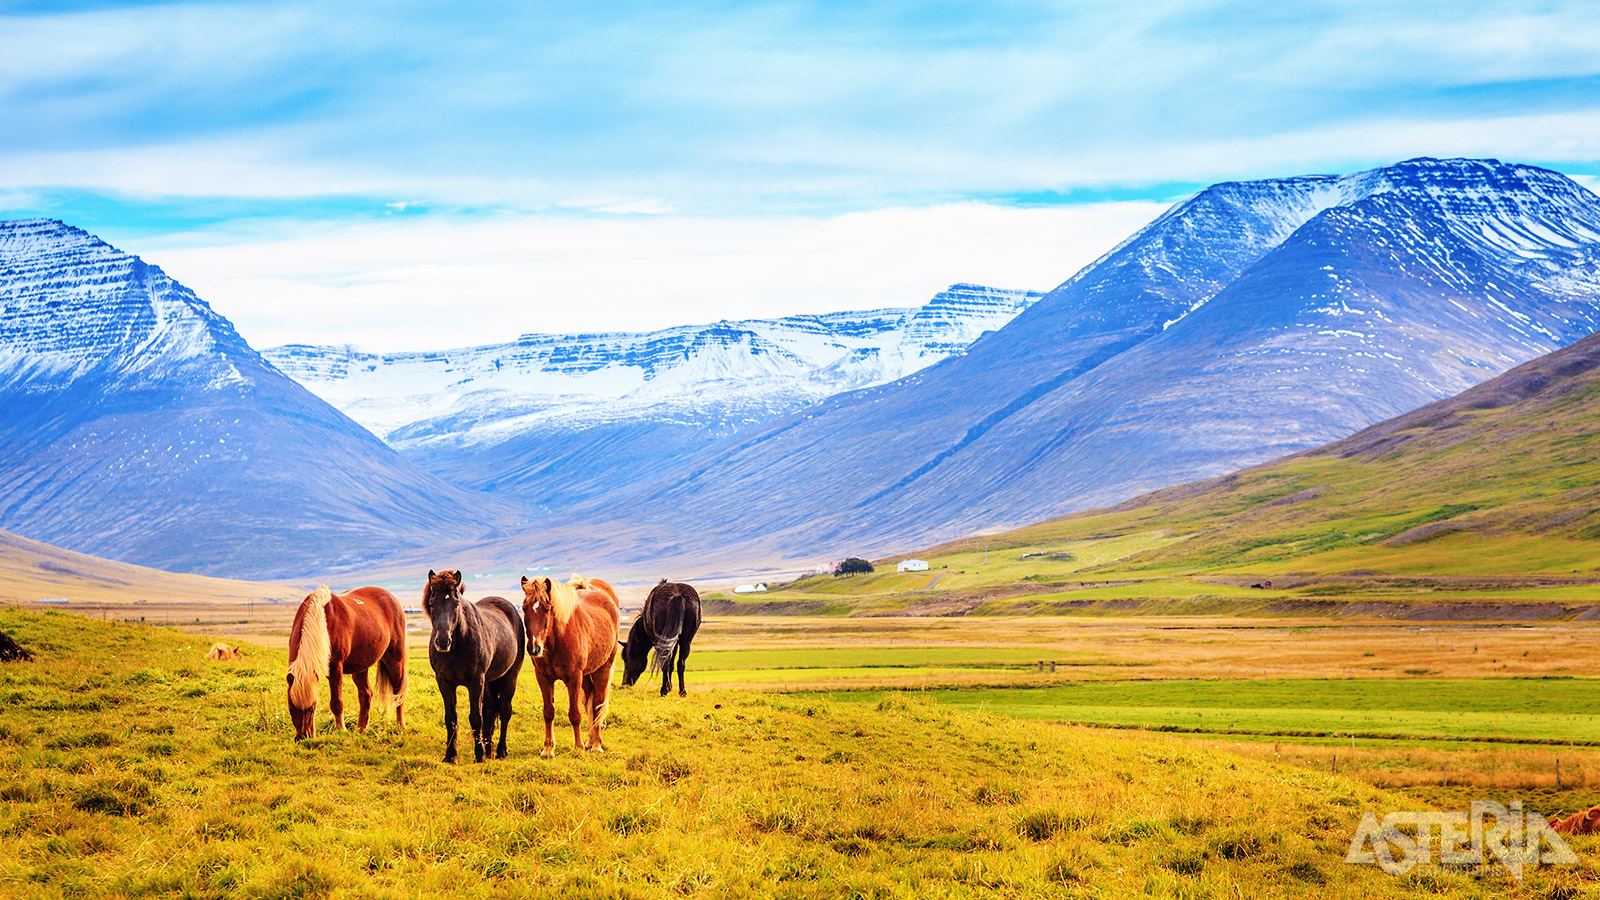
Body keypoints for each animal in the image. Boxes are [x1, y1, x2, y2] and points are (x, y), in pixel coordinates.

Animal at [288, 582, 412, 736]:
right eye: (291, 706)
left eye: (312, 707)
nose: (303, 737)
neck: (322, 620)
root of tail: (392, 599)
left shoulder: (335, 668)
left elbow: (336, 703)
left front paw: (341, 729)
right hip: (361, 667)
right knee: (366, 694)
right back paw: (361, 729)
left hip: (395, 660)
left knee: (398, 692)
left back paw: (400, 725)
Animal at [528, 570, 620, 752]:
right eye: (524, 608)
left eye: (547, 609)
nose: (534, 648)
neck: (558, 639)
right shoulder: (543, 677)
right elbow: (548, 712)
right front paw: (548, 749)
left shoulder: (574, 678)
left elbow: (575, 714)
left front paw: (578, 746)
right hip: (586, 676)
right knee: (590, 704)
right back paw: (591, 741)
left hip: (602, 669)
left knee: (598, 703)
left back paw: (597, 745)